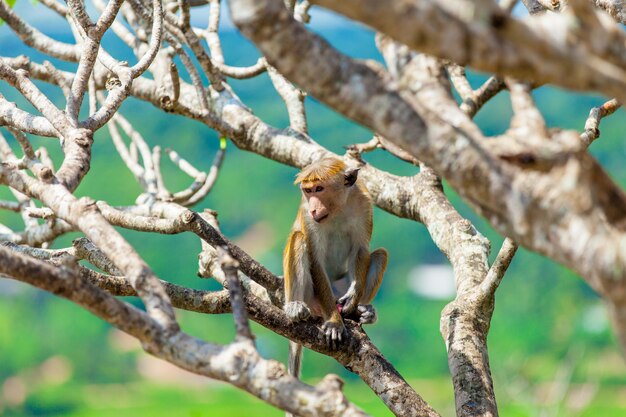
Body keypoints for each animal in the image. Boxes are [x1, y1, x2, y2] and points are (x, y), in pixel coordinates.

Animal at [282, 155, 386, 376]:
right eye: (308, 191)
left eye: (319, 188)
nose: (314, 207)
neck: (337, 209)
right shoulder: (307, 215)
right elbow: (316, 260)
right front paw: (334, 322)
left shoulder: (364, 204)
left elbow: (361, 250)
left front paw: (353, 299)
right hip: (312, 298)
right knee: (298, 239)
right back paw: (294, 307)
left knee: (380, 254)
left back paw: (361, 312)